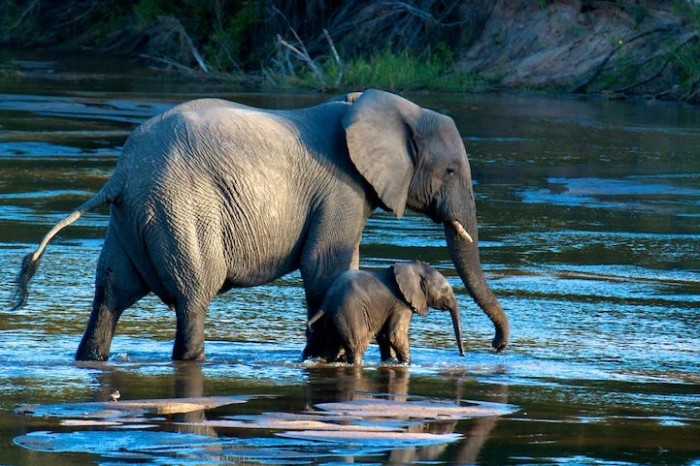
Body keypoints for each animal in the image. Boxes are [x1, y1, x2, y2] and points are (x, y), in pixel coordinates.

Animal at [302, 260, 462, 366]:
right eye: (445, 290)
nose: (462, 354)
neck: (412, 267)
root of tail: (327, 299)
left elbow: (385, 336)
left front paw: (390, 361)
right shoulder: (401, 304)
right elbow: (394, 334)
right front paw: (406, 364)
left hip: (332, 318)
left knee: (333, 346)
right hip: (349, 314)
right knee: (355, 347)